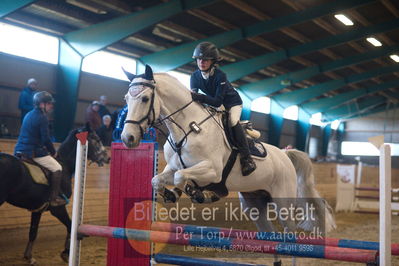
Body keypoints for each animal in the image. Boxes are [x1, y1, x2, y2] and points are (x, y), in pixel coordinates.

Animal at [0, 124, 109, 264]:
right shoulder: (58, 209)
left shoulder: (37, 210)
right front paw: (66, 253)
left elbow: (33, 232)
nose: (107, 158)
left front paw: (29, 256)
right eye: (96, 139)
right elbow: (70, 226)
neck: (65, 166)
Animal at [120, 65, 336, 264]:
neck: (189, 128)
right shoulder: (173, 167)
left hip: (283, 202)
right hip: (254, 204)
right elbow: (158, 179)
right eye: (126, 99)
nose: (127, 138)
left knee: (290, 234)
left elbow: (181, 177)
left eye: (145, 99)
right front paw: (171, 194)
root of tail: (284, 154)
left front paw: (199, 193)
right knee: (271, 235)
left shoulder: (212, 171)